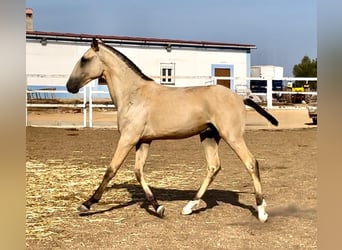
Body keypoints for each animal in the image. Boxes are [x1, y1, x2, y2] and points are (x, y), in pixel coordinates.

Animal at [65, 39, 276, 223]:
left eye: (84, 59)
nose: (69, 86)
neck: (133, 94)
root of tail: (240, 98)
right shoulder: (143, 141)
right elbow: (138, 171)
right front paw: (158, 207)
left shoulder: (128, 138)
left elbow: (111, 170)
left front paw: (87, 204)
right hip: (209, 136)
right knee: (213, 167)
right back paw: (189, 206)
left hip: (232, 137)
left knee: (251, 163)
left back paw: (261, 212)